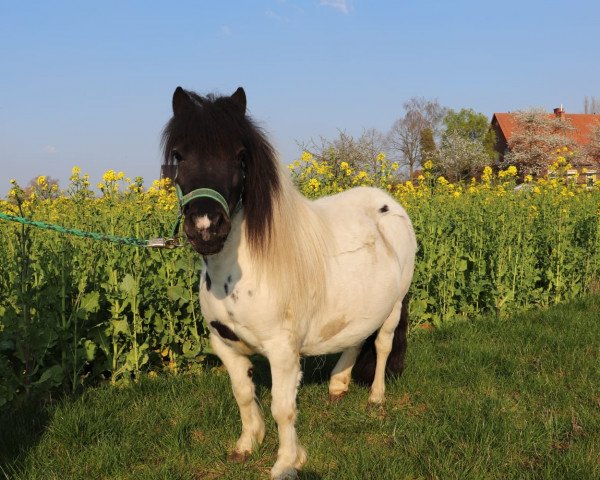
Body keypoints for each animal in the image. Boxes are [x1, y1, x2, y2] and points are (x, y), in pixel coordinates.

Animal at [163, 87, 418, 480]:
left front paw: (286, 462)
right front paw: (247, 444)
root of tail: (388, 201)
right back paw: (338, 384)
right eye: (179, 154)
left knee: (383, 345)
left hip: (393, 307)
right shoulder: (225, 344)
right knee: (356, 337)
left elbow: (282, 408)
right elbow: (243, 394)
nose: (206, 227)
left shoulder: (283, 352)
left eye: (240, 156)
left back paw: (376, 398)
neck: (240, 272)